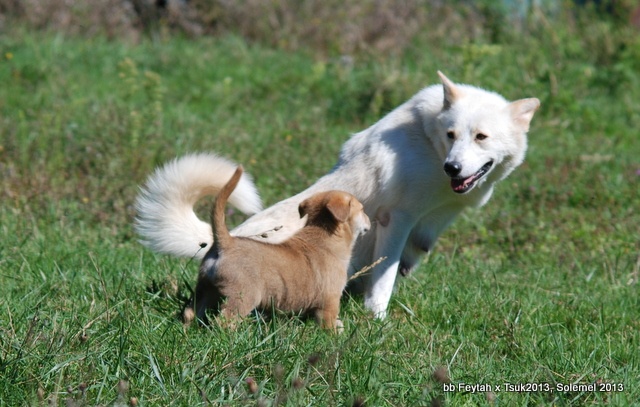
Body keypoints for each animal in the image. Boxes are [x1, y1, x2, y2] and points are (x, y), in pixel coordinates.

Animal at [182, 167, 368, 330]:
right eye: (362, 209)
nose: (369, 219)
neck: (322, 232)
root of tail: (226, 242)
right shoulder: (329, 302)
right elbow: (328, 324)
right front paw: (334, 336)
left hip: (206, 289)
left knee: (191, 312)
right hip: (243, 296)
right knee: (224, 321)